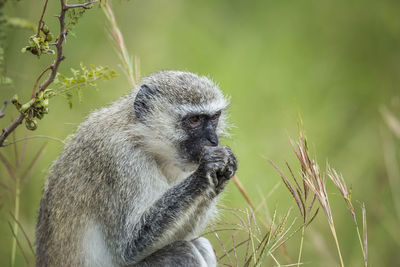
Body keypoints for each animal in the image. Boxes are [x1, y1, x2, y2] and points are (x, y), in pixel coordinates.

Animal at [35, 70, 238, 266]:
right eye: (194, 120)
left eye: (214, 117)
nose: (213, 140)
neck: (140, 136)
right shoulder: (120, 158)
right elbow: (128, 248)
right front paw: (206, 170)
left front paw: (225, 171)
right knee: (183, 252)